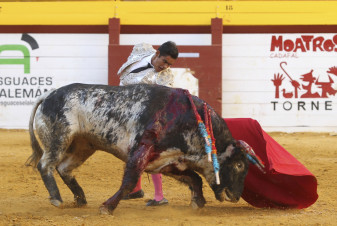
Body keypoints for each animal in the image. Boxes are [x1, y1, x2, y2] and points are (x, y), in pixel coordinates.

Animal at [26, 83, 262, 215]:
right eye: (239, 165)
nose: (236, 196)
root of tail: (48, 94)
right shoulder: (142, 150)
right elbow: (129, 181)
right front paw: (107, 207)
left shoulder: (166, 161)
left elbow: (194, 178)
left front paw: (198, 202)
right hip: (59, 139)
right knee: (45, 164)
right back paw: (57, 199)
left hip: (84, 146)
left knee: (64, 168)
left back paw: (80, 199)